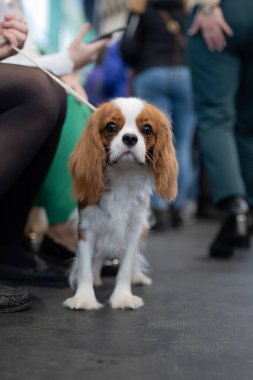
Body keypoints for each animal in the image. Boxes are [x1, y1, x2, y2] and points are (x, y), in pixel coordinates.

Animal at [63, 96, 178, 310]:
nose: (130, 138)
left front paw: (123, 297)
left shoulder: (134, 230)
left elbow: (125, 267)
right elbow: (84, 268)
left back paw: (137, 277)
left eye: (147, 129)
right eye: (111, 126)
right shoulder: (87, 227)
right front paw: (84, 298)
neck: (123, 176)